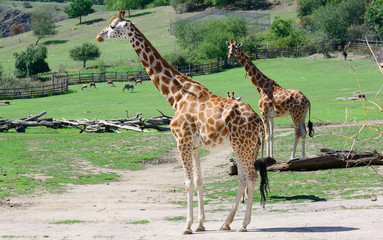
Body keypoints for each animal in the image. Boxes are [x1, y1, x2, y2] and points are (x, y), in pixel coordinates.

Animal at [97, 11, 270, 234]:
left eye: (112, 26)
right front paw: (200, 224)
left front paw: (187, 225)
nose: (98, 37)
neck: (175, 96)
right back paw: (227, 223)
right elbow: (198, 181)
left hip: (242, 145)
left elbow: (187, 182)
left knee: (249, 177)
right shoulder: (194, 146)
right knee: (245, 178)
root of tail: (258, 121)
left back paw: (242, 224)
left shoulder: (181, 141)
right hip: (247, 146)